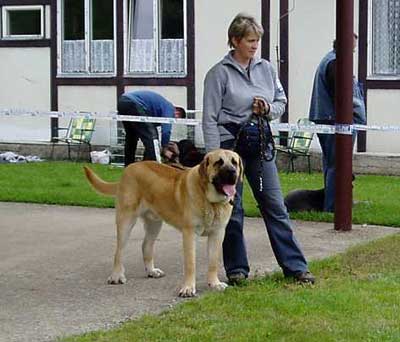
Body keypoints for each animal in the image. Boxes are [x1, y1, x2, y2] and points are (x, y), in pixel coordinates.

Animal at [83, 150, 242, 296]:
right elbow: (190, 263)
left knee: (146, 245)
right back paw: (116, 276)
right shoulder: (189, 233)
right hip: (126, 220)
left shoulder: (218, 233)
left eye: (234, 162)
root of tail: (129, 167)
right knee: (119, 250)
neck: (210, 201)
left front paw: (214, 284)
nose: (232, 172)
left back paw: (151, 271)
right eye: (218, 162)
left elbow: (213, 262)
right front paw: (188, 288)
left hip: (154, 223)